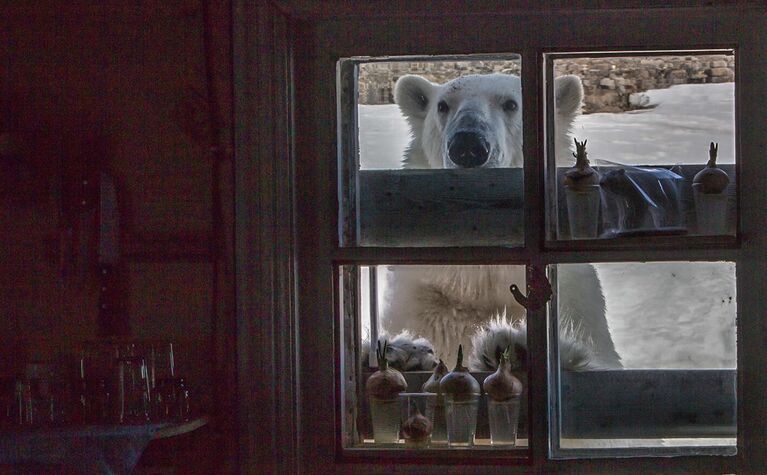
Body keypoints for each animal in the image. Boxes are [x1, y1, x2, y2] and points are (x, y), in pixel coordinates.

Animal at [378, 73, 624, 372]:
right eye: (442, 106)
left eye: (511, 104)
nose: (468, 146)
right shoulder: (424, 302)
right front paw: (405, 352)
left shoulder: (573, 298)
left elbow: (603, 358)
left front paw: (517, 348)